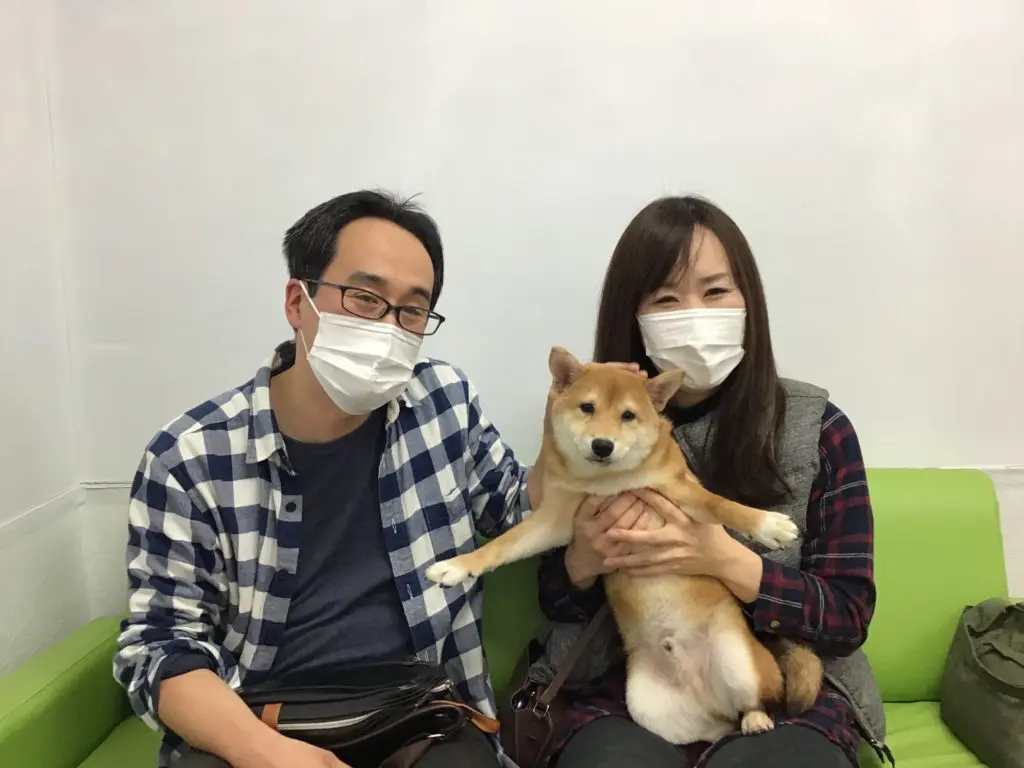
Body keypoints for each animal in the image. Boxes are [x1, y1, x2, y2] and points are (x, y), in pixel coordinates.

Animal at [426, 346, 823, 744]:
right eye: (587, 408)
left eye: (628, 415)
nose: (602, 445)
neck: (610, 483)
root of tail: (705, 694)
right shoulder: (555, 522)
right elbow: (503, 545)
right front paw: (458, 566)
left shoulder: (682, 493)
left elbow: (720, 504)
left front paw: (767, 524)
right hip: (646, 706)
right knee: (718, 730)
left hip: (738, 660)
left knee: (753, 702)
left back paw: (756, 719)